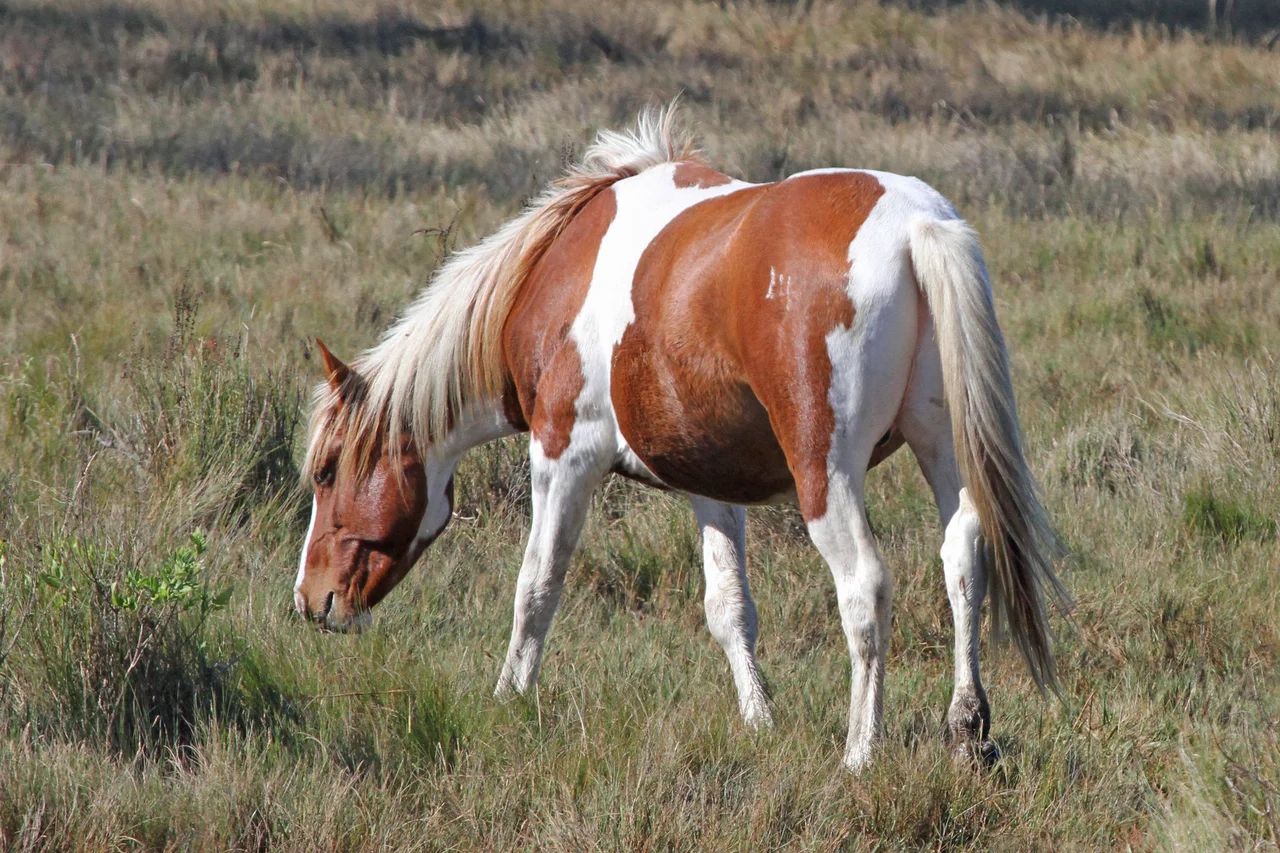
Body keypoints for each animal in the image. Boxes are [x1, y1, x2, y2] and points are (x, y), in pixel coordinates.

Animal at [294, 105, 1068, 771]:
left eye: (327, 471)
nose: (311, 600)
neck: (555, 271)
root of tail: (915, 225)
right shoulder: (711, 484)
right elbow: (729, 610)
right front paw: (760, 720)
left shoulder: (563, 455)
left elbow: (536, 586)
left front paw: (508, 697)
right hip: (943, 448)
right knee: (963, 558)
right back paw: (967, 732)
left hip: (825, 475)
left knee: (866, 589)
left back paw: (860, 753)